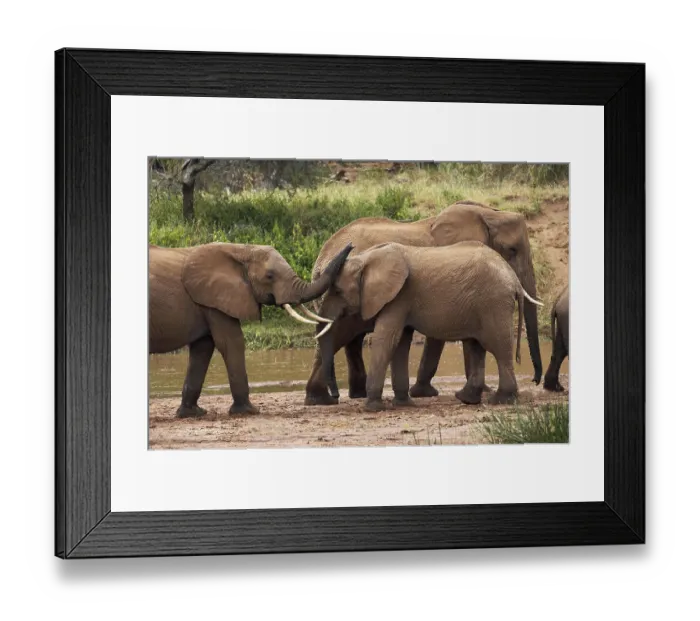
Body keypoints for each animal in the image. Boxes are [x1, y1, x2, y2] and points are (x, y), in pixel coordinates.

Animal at [149, 241, 353, 416]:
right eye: (269, 276)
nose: (351, 245)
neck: (240, 249)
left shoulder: (207, 301)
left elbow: (203, 348)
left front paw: (193, 414)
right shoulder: (215, 299)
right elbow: (232, 342)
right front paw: (250, 411)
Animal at [304, 201, 543, 405]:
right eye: (512, 250)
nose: (535, 380)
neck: (487, 213)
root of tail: (322, 255)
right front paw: (426, 393)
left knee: (347, 339)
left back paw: (347, 395)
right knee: (340, 334)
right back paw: (324, 398)